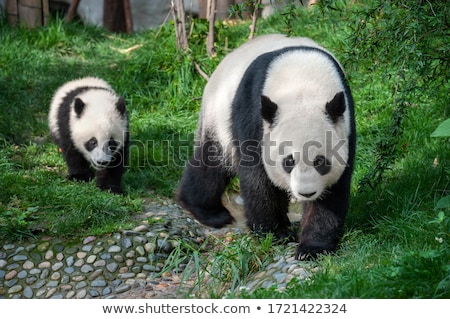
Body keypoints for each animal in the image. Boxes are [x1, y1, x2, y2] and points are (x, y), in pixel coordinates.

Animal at [178, 34, 356, 260]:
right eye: (289, 161)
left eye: (320, 161)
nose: (306, 193)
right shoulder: (254, 115)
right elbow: (258, 178)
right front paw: (275, 233)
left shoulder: (345, 125)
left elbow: (333, 191)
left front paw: (313, 247)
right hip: (218, 114)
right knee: (211, 164)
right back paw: (207, 211)